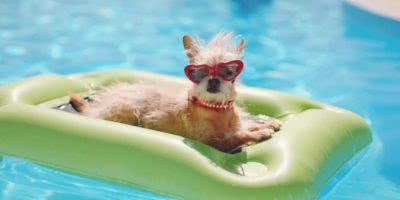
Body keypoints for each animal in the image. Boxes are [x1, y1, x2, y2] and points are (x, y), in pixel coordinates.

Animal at [69, 32, 282, 152]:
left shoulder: (231, 127)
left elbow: (243, 127)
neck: (215, 109)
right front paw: (258, 133)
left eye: (229, 72)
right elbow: (236, 137)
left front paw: (264, 124)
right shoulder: (211, 143)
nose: (213, 80)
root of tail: (97, 107)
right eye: (198, 71)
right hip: (127, 109)